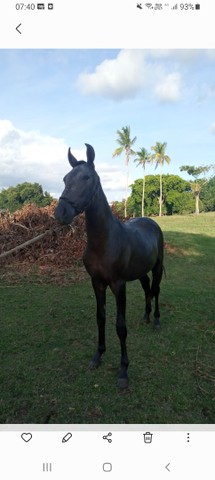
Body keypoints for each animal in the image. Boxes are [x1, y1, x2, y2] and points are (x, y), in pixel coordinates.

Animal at [54, 142, 164, 386]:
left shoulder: (118, 285)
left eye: (86, 177)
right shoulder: (97, 283)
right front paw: (98, 356)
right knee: (147, 288)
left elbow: (120, 327)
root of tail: (151, 221)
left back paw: (156, 321)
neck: (104, 241)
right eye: (65, 178)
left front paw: (123, 371)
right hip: (141, 271)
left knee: (157, 289)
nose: (61, 213)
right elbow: (100, 318)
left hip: (157, 267)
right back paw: (146, 316)